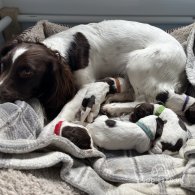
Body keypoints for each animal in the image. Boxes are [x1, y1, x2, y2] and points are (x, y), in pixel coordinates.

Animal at [0, 20, 195, 123]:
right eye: (3, 64)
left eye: (27, 72)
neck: (66, 51)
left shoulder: (85, 85)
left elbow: (68, 107)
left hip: (137, 62)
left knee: (144, 99)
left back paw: (114, 107)